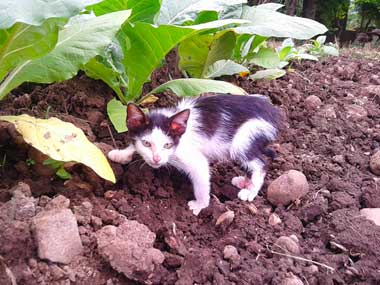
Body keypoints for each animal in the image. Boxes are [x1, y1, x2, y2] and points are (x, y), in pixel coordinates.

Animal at [108, 94, 280, 214]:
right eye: (146, 143)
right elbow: (133, 146)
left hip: (245, 136)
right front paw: (120, 154)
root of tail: (273, 111)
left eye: (167, 145)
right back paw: (244, 182)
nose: (156, 159)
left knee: (260, 164)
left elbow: (201, 180)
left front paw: (200, 205)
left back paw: (250, 191)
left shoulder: (194, 159)